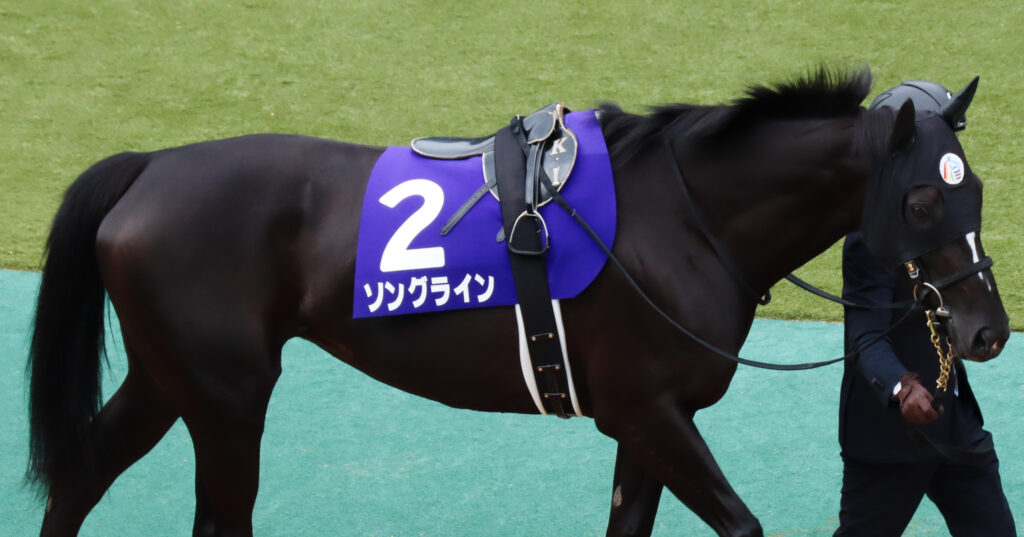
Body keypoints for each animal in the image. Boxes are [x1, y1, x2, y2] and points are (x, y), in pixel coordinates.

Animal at [26, 67, 1009, 537]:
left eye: (979, 188)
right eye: (926, 199)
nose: (988, 328)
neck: (684, 214)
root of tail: (150, 167)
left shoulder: (649, 420)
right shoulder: (647, 411)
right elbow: (742, 523)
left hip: (170, 379)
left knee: (80, 474)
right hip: (228, 398)